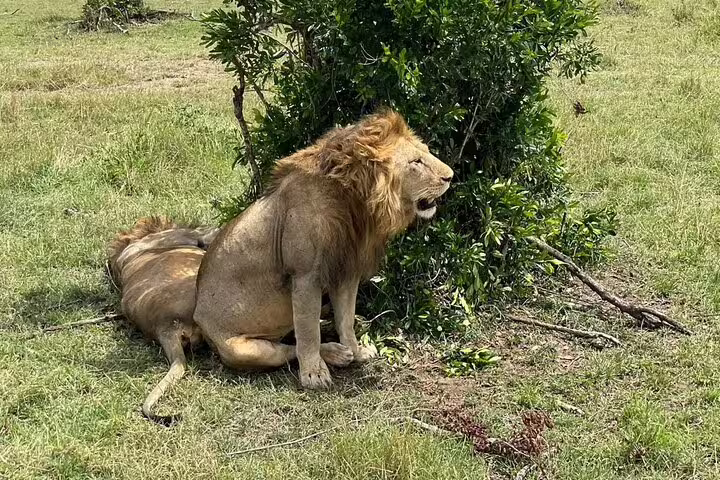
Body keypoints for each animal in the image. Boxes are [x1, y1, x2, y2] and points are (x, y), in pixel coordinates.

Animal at [194, 110, 453, 389]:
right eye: (416, 162)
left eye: (426, 152)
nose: (450, 176)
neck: (356, 202)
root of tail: (196, 316)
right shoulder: (305, 276)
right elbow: (308, 332)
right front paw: (313, 374)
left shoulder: (347, 269)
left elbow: (346, 319)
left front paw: (357, 351)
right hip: (241, 349)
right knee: (290, 348)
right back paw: (332, 354)